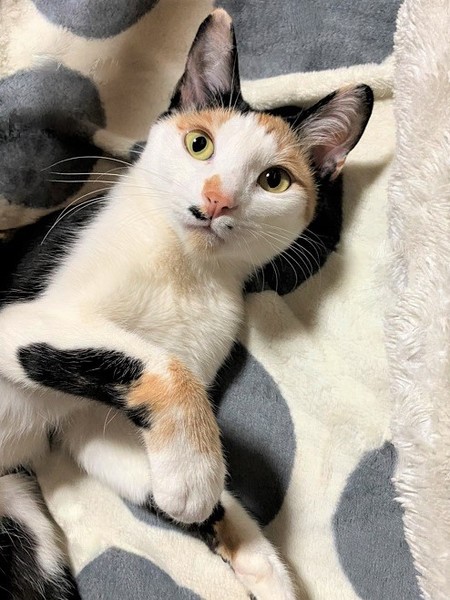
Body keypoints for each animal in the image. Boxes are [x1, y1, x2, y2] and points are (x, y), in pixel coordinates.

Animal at [0, 8, 373, 600]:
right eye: (199, 144)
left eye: (274, 179)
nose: (217, 200)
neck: (184, 269)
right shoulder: (22, 321)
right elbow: (164, 367)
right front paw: (196, 481)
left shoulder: (89, 421)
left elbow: (124, 451)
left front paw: (256, 557)